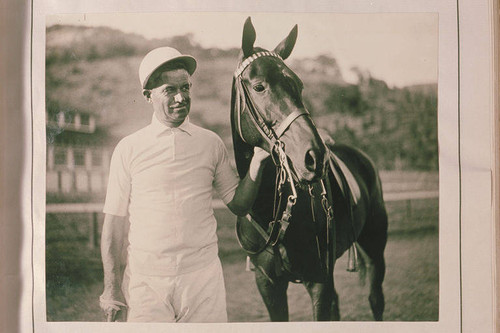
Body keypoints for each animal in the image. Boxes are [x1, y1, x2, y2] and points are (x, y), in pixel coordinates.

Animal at [230, 16, 390, 320]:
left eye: (299, 86)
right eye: (259, 87)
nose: (316, 156)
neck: (271, 210)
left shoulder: (319, 281)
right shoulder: (268, 285)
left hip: (375, 247)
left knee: (376, 298)